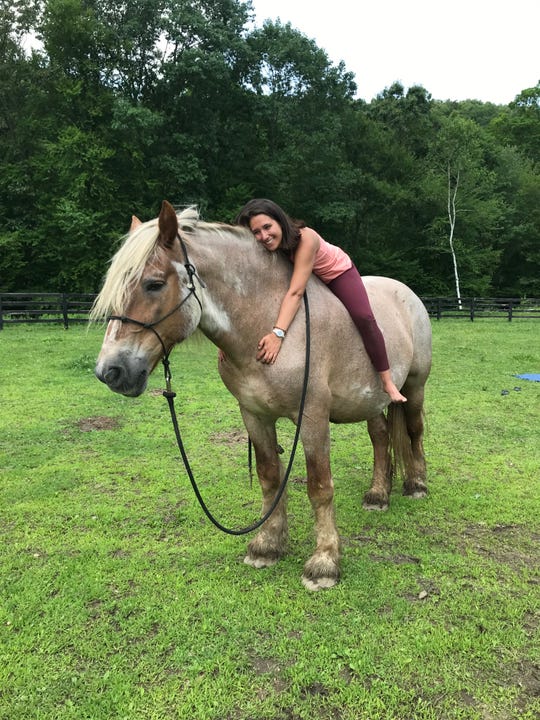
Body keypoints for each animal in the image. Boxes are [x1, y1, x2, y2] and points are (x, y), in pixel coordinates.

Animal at [92, 201, 430, 592]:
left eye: (154, 284)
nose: (110, 371)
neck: (266, 322)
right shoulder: (254, 415)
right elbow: (270, 477)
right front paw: (267, 545)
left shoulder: (312, 418)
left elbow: (320, 486)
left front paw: (325, 562)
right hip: (370, 399)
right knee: (380, 436)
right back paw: (378, 494)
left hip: (414, 387)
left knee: (414, 431)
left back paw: (417, 484)